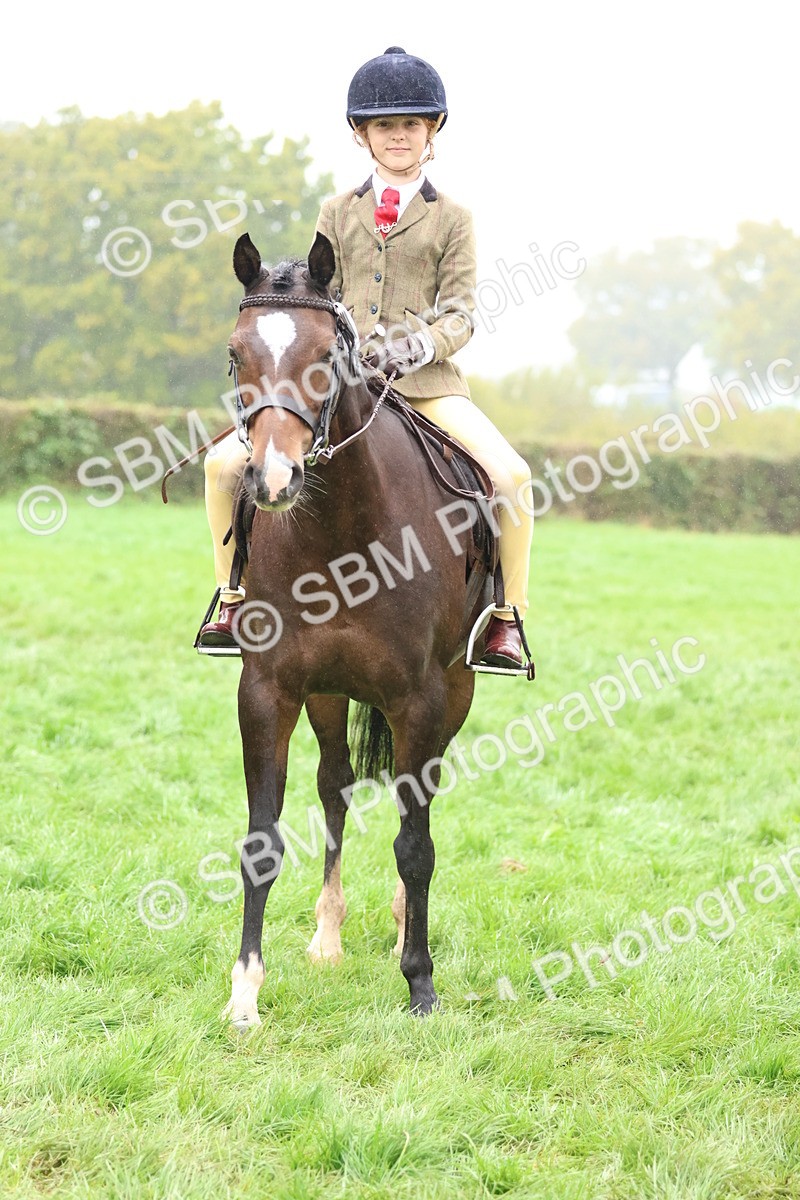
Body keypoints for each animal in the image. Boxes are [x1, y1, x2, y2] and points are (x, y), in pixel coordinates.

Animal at [221, 230, 501, 1027]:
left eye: (325, 356)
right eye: (236, 354)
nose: (272, 480)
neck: (340, 528)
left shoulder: (419, 698)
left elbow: (416, 843)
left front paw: (421, 982)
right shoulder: (269, 690)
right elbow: (263, 839)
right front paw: (245, 992)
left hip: (456, 694)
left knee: (418, 804)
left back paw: (406, 928)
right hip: (327, 693)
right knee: (336, 788)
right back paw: (328, 935)